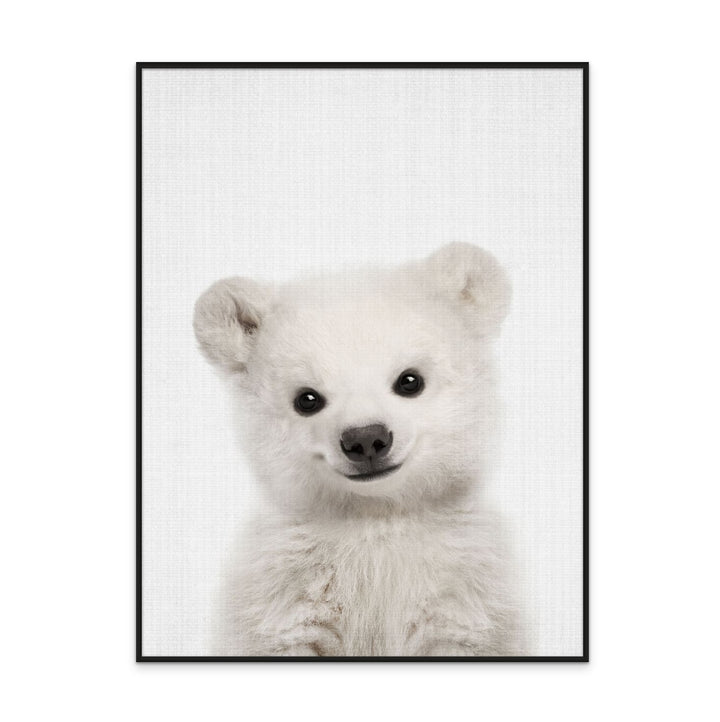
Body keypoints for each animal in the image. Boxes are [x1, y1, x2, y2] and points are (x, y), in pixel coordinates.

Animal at [193, 242, 524, 656]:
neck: (374, 518)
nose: (366, 438)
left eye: (410, 380)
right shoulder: (284, 592)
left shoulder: (463, 591)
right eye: (307, 399)